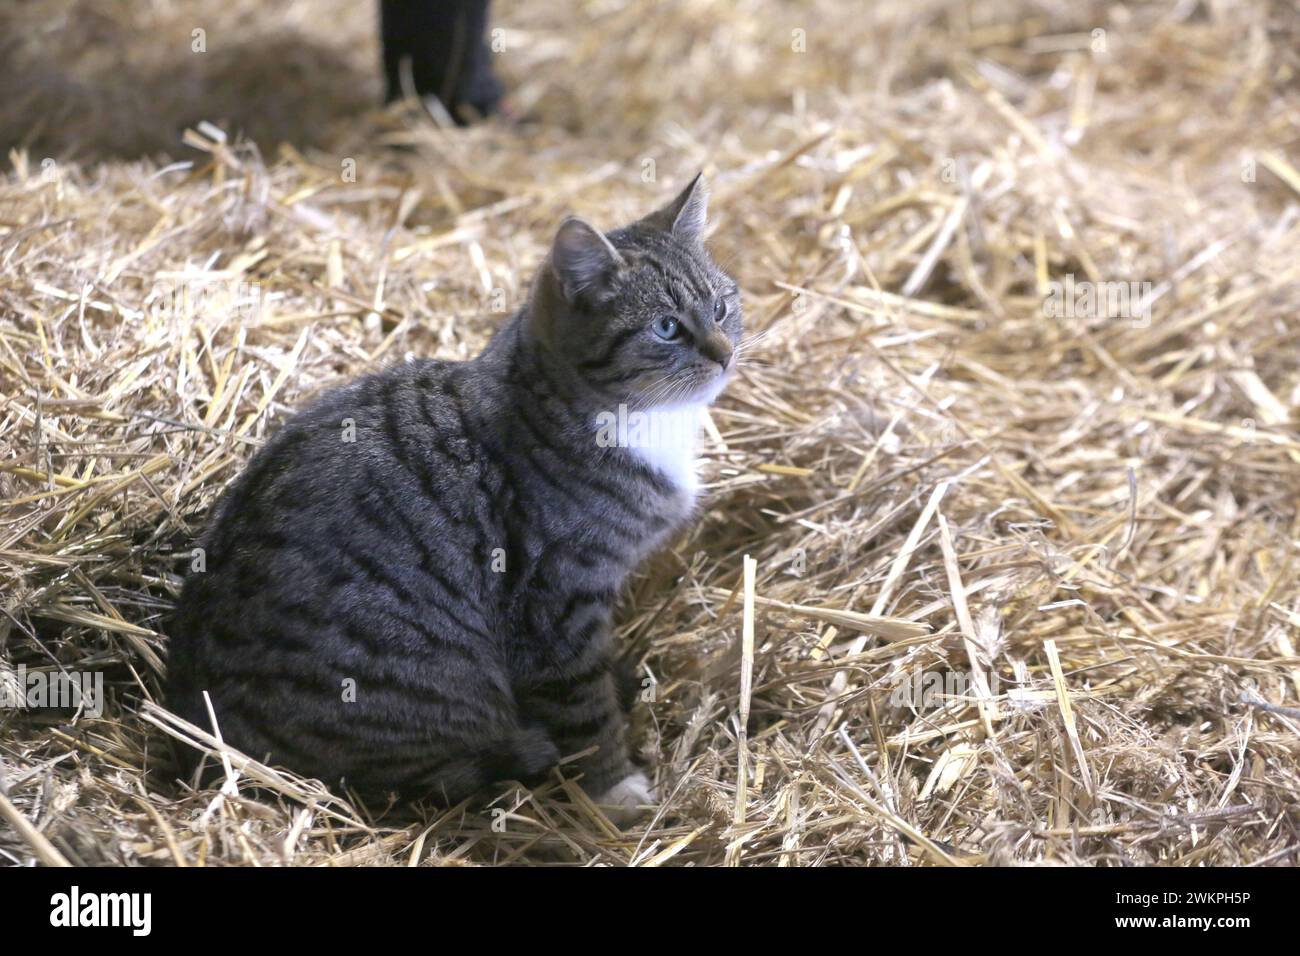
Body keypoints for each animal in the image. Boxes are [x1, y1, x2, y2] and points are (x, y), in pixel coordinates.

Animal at [165, 174, 743, 816]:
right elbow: (583, 706)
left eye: (722, 306)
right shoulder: (553, 600)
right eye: (667, 327)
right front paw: (614, 788)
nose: (725, 354)